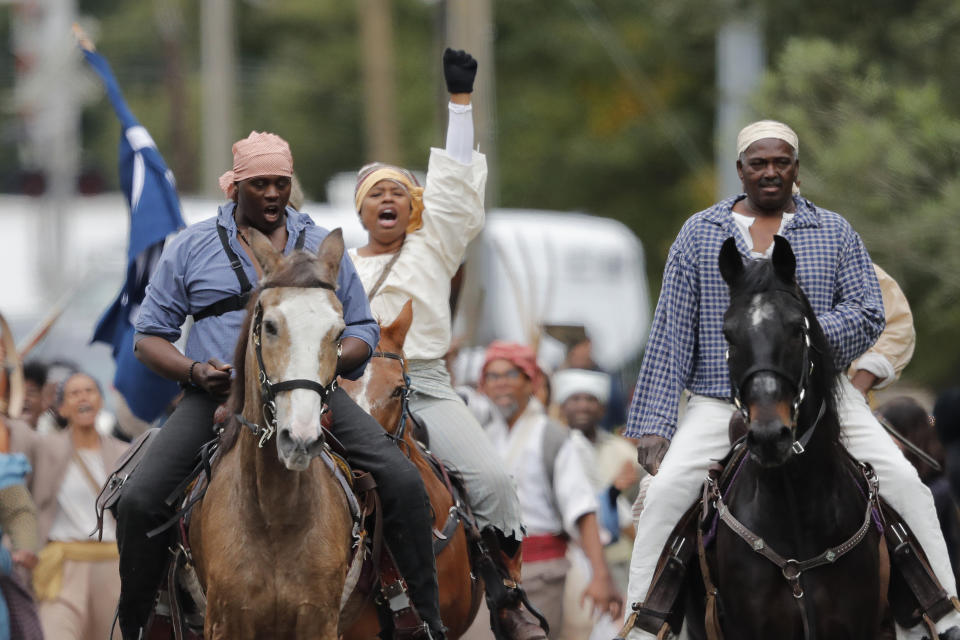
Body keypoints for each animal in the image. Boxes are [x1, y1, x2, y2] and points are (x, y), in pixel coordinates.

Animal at [188, 230, 352, 640]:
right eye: (271, 326)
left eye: (339, 332)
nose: (301, 440)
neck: (276, 516)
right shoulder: (228, 621)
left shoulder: (320, 621)